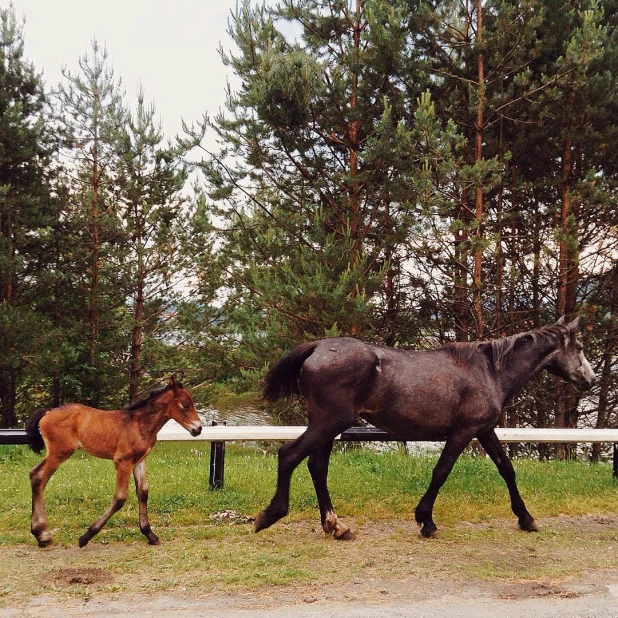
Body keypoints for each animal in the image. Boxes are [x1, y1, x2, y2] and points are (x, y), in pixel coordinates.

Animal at [254, 318, 592, 540]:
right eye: (578, 346)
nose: (589, 380)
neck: (489, 370)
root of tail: (317, 347)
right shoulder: (463, 432)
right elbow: (441, 472)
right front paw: (426, 521)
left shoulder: (485, 430)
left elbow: (506, 469)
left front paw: (526, 518)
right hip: (328, 423)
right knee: (289, 455)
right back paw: (269, 516)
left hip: (327, 427)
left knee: (317, 467)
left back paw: (337, 527)